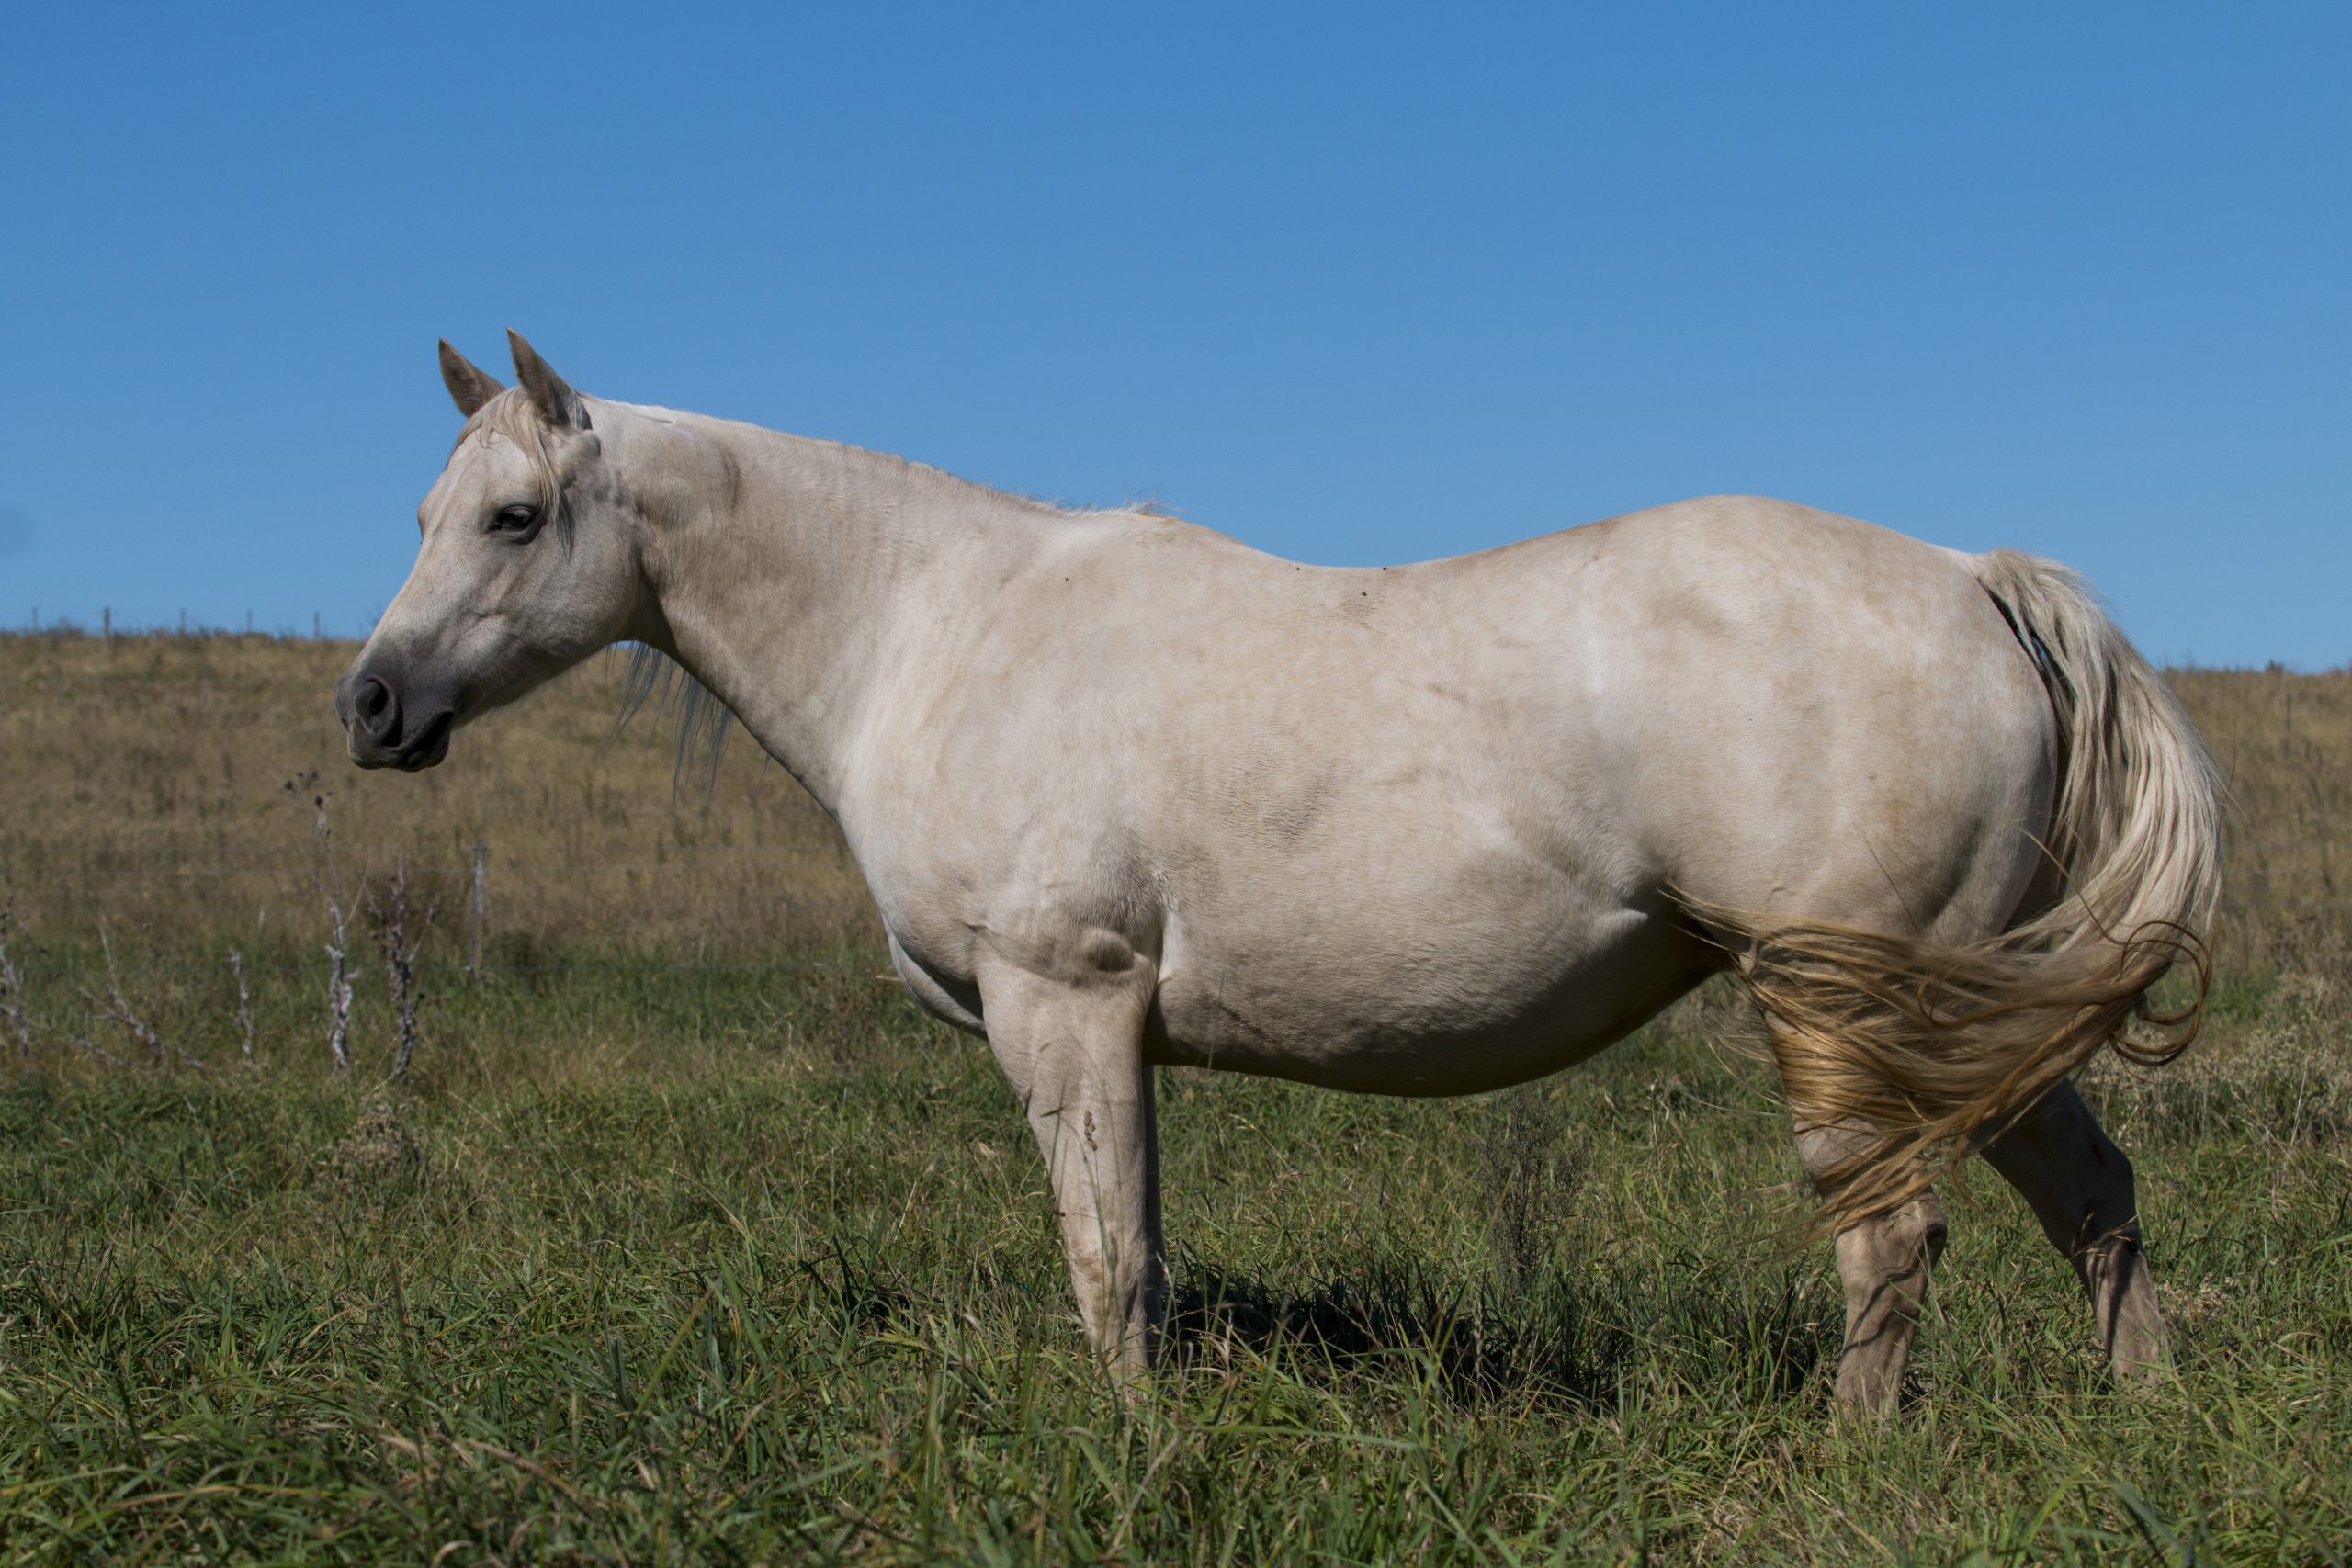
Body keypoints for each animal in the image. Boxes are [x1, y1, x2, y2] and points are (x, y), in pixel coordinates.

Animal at [341, 338, 2211, 1419]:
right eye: (424, 510)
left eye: (514, 517)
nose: (371, 706)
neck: (941, 626)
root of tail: (1972, 577)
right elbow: (1138, 1251)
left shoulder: (1065, 1003)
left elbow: (1109, 1258)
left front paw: (1129, 1448)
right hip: (1964, 1016)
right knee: (2092, 1198)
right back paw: (2142, 1420)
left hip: (1840, 1011)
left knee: (1890, 1235)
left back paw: (1853, 1453)